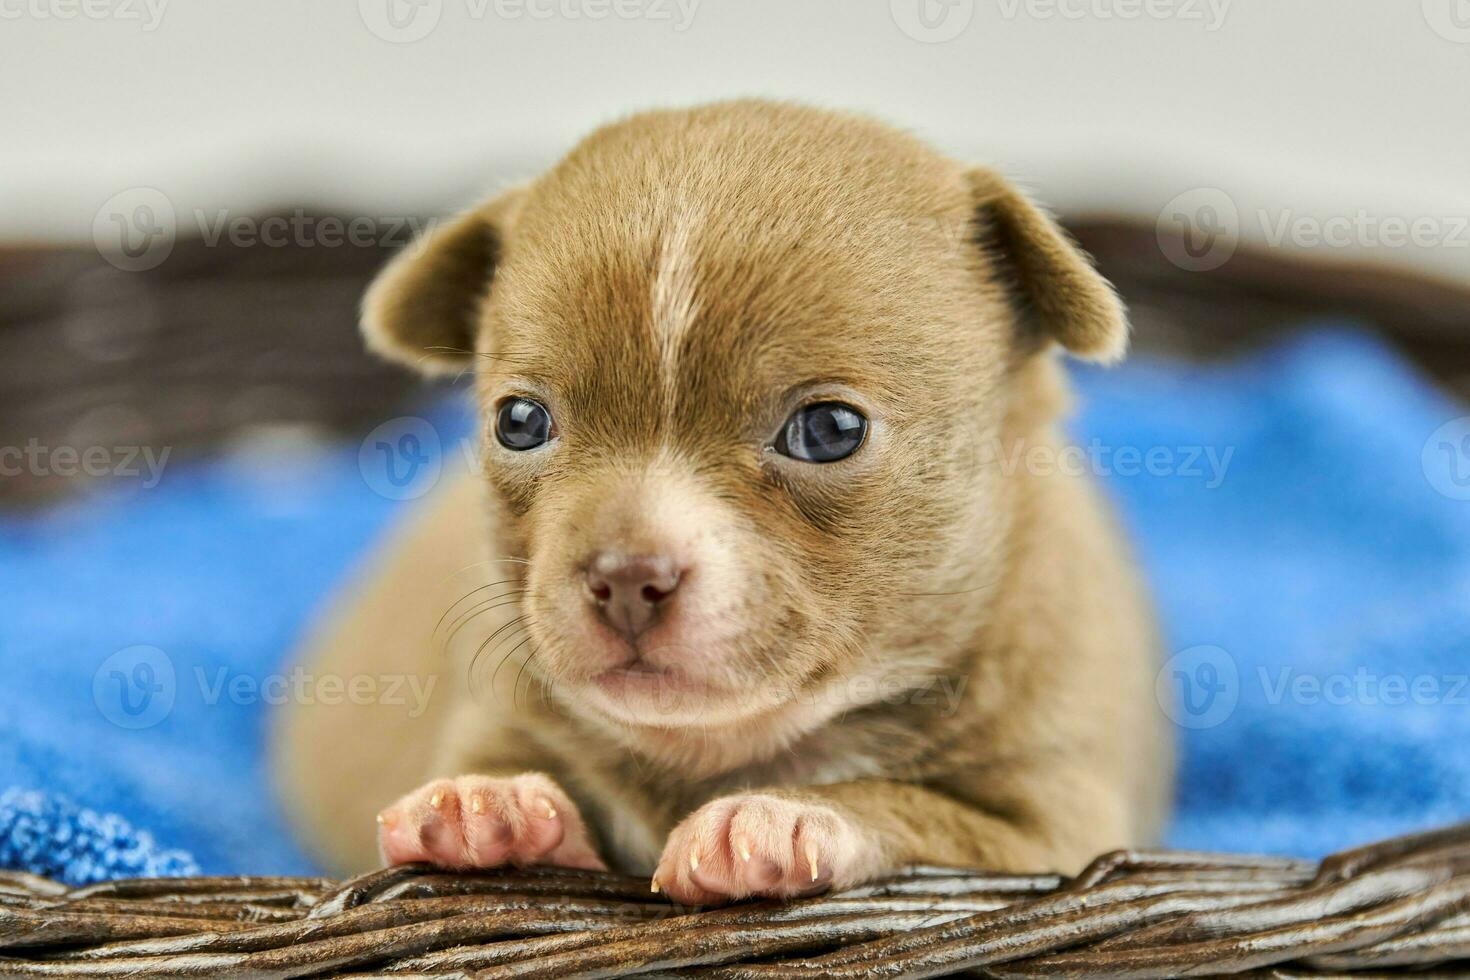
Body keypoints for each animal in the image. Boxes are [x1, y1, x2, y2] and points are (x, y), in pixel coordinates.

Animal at [273, 99, 1170, 905]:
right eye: (519, 422)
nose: (624, 577)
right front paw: (485, 802)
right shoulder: (495, 715)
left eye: (830, 430)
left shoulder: (1049, 835)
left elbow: (906, 808)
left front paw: (780, 819)